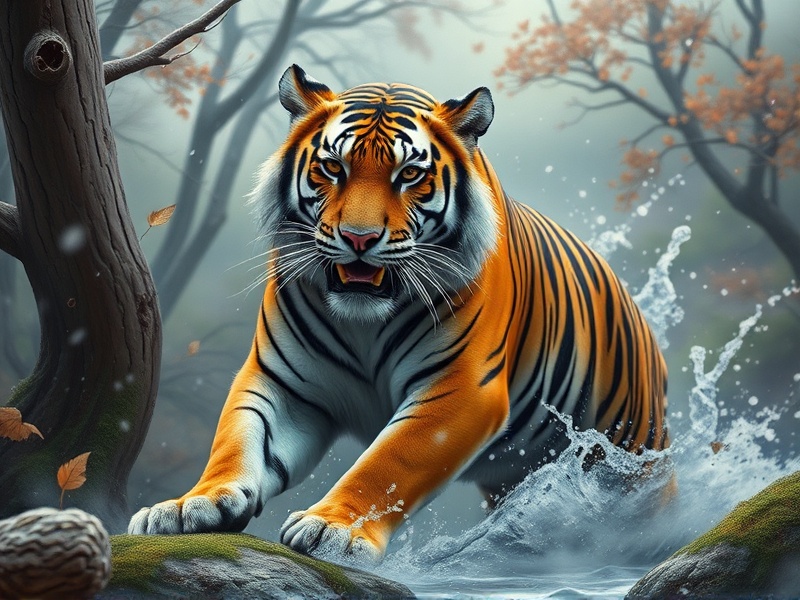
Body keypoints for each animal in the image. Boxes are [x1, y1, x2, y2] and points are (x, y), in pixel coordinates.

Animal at [129, 64, 670, 563]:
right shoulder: (281, 382)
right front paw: (189, 506)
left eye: (409, 174)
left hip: (633, 456)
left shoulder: (460, 390)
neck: (362, 322)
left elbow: (387, 463)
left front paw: (333, 530)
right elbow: (237, 440)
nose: (359, 238)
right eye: (333, 168)